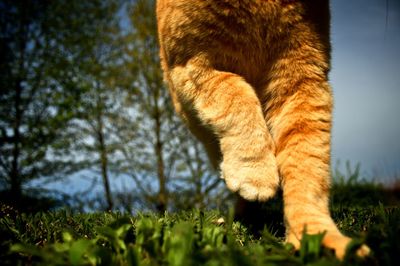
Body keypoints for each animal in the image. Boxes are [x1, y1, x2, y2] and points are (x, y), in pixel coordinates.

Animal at [156, 0, 368, 258]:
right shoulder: (191, 64)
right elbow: (236, 95)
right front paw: (255, 175)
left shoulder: (302, 80)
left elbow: (308, 163)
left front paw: (315, 236)